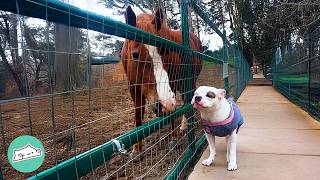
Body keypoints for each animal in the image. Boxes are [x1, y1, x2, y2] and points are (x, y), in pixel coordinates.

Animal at [121, 6, 201, 154]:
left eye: (165, 51)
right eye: (135, 55)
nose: (164, 103)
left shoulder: (172, 85)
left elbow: (172, 112)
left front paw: (174, 138)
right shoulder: (133, 88)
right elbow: (138, 116)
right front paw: (137, 149)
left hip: (187, 81)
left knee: (187, 100)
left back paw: (184, 125)